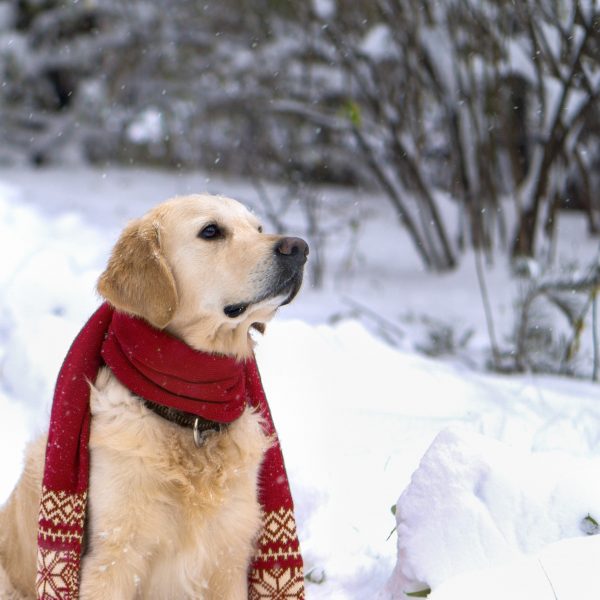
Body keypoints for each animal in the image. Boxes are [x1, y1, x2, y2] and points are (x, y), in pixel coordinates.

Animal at [0, 195, 310, 596]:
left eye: (258, 228)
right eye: (211, 231)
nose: (299, 248)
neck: (190, 408)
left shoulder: (229, 555)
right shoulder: (112, 558)